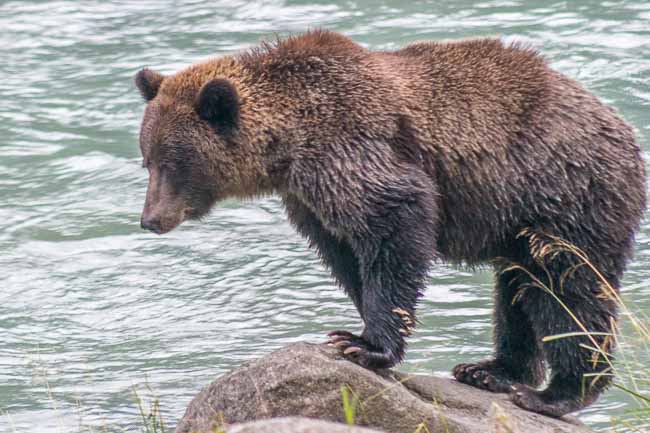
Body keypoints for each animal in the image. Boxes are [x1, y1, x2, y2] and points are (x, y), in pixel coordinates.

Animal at [133, 29, 644, 416]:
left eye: (173, 161)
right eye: (147, 158)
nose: (150, 219)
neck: (289, 145)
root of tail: (624, 127)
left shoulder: (351, 148)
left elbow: (395, 225)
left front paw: (366, 345)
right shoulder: (310, 201)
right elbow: (345, 257)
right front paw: (353, 331)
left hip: (564, 198)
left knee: (567, 291)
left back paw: (558, 392)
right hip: (519, 224)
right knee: (516, 291)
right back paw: (490, 369)